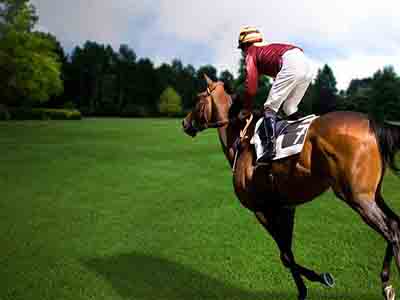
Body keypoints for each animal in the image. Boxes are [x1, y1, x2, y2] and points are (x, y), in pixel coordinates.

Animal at [183, 75, 400, 300]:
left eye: (198, 98)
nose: (184, 123)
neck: (241, 137)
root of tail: (373, 123)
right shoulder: (285, 207)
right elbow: (287, 252)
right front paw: (309, 285)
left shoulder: (262, 209)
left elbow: (285, 256)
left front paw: (317, 281)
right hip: (373, 194)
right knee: (396, 223)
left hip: (358, 197)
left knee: (391, 230)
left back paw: (386, 282)